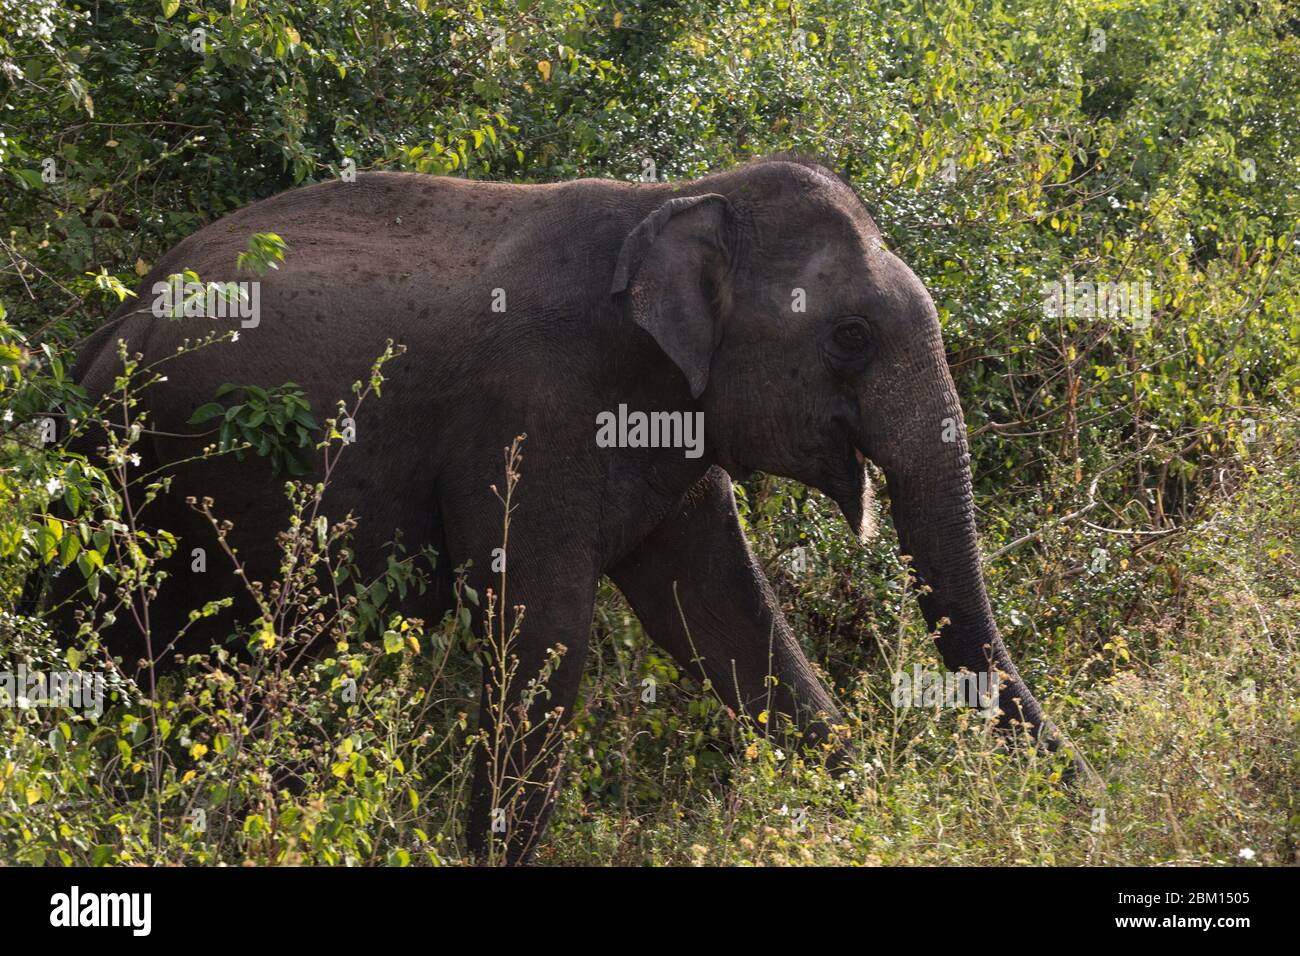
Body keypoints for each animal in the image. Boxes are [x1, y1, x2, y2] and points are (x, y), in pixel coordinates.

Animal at [63, 155, 1055, 858]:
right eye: (849, 336)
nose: (1070, 792)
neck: (678, 199)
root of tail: (101, 333)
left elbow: (724, 618)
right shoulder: (530, 416)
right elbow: (541, 635)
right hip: (135, 477)